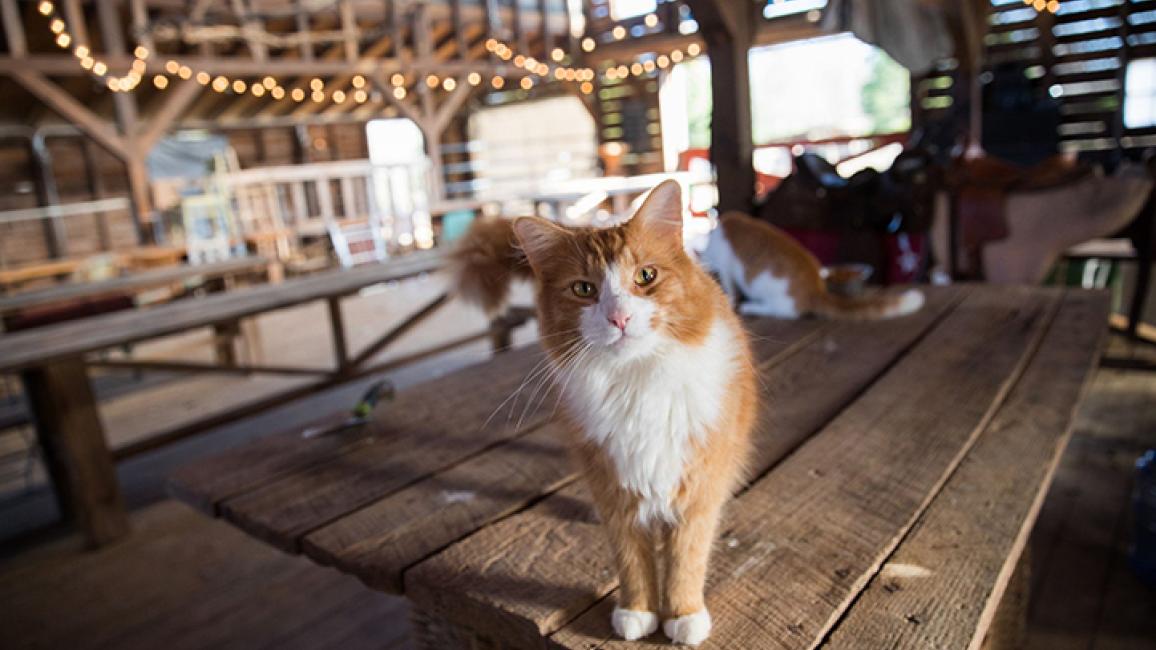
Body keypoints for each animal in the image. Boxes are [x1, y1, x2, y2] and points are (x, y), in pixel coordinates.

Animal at [698, 210, 924, 319]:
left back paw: (752, 306)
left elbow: (729, 286)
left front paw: (731, 299)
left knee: (785, 312)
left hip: (778, 298)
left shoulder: (725, 265)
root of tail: (817, 289)